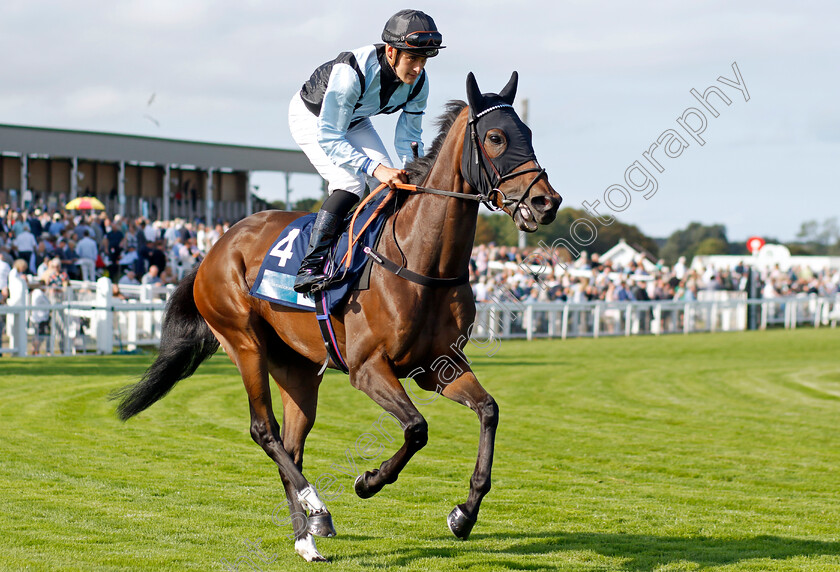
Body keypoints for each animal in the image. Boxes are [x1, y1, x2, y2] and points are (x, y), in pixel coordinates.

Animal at [111, 71, 556, 564]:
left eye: (528, 133)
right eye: (496, 137)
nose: (546, 202)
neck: (423, 261)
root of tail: (215, 248)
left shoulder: (439, 366)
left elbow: (488, 411)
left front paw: (465, 513)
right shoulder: (368, 368)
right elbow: (417, 428)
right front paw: (369, 481)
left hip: (298, 368)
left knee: (291, 444)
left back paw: (307, 531)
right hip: (244, 342)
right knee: (264, 431)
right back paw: (315, 512)